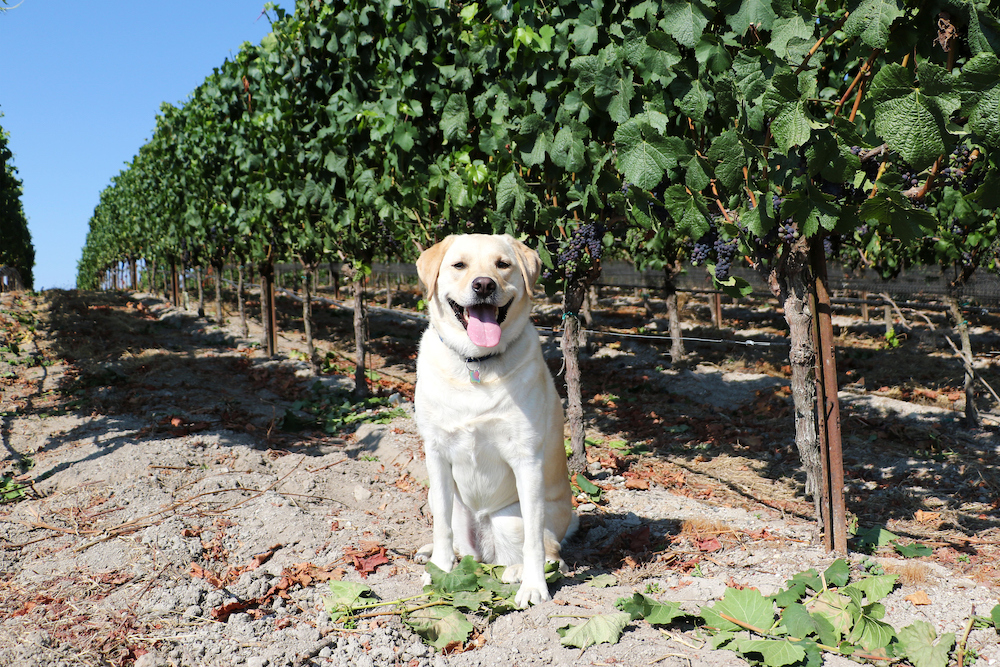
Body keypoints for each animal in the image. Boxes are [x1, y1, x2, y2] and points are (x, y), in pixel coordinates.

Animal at [410, 232, 576, 608]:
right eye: (459, 265)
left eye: (503, 264)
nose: (484, 284)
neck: (477, 363)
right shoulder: (436, 454)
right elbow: (441, 528)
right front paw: (439, 571)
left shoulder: (526, 460)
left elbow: (534, 541)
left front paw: (533, 587)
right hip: (443, 498)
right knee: (458, 541)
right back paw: (437, 555)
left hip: (510, 518)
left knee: (550, 552)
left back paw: (517, 571)